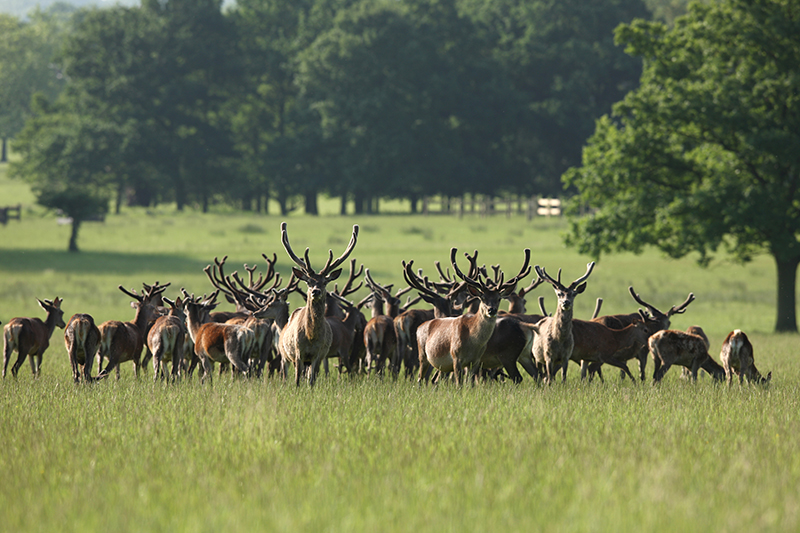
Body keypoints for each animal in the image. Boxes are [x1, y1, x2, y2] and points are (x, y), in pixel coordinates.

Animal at [278, 222, 360, 384]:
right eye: (309, 282)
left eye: (325, 282)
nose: (315, 291)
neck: (311, 336)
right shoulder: (298, 352)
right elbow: (297, 380)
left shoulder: (319, 354)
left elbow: (311, 381)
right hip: (288, 355)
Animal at [412, 247, 532, 384]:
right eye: (483, 298)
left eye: (499, 298)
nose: (491, 310)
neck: (473, 343)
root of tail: (420, 326)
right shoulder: (456, 358)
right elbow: (459, 383)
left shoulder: (475, 362)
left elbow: (470, 383)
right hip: (423, 356)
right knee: (421, 379)